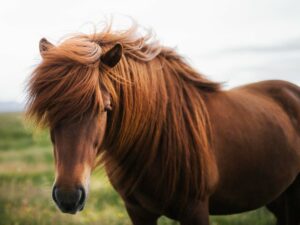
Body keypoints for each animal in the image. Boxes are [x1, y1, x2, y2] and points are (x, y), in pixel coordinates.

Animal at [25, 26, 300, 225]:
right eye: (49, 109)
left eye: (105, 108)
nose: (68, 197)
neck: (153, 142)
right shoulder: (138, 211)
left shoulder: (195, 210)